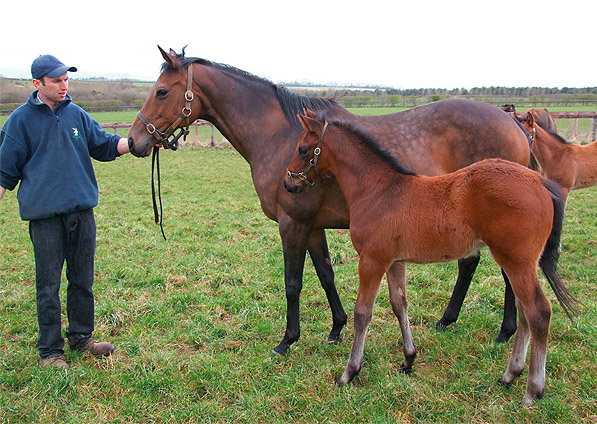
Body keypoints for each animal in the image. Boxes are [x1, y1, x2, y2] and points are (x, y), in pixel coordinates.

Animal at [128, 46, 528, 354]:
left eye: (161, 91)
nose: (134, 141)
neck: (282, 135)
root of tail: (514, 124)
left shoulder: (292, 224)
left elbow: (293, 282)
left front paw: (287, 341)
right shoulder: (312, 226)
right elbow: (325, 274)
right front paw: (337, 328)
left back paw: (504, 331)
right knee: (472, 265)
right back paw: (450, 321)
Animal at [282, 110, 576, 408]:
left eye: (303, 149)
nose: (288, 182)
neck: (379, 189)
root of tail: (539, 181)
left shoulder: (372, 260)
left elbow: (363, 313)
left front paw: (349, 373)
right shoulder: (394, 261)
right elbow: (400, 305)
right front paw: (408, 359)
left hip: (516, 261)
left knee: (539, 312)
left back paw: (532, 390)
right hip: (519, 263)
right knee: (525, 311)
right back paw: (510, 374)